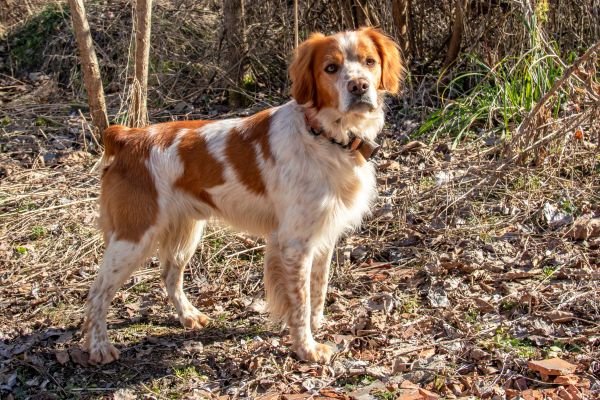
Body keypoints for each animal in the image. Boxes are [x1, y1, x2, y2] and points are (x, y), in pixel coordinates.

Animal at [83, 27, 404, 366]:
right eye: (331, 68)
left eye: (370, 62)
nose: (359, 86)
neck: (324, 135)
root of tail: (128, 136)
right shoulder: (294, 244)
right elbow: (300, 301)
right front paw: (307, 348)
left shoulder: (323, 235)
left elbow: (319, 286)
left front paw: (317, 325)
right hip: (133, 237)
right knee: (97, 292)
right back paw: (99, 346)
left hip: (185, 231)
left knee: (169, 275)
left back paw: (188, 315)